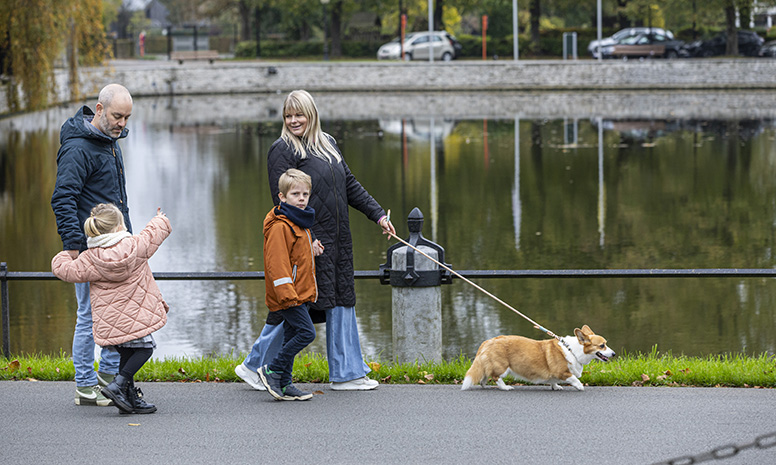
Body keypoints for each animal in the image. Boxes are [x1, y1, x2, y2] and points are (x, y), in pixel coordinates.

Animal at [458, 324, 616, 390]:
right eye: (602, 346)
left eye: (606, 344)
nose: (614, 354)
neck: (573, 350)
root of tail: (487, 342)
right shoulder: (562, 372)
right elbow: (574, 379)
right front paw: (580, 387)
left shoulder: (555, 374)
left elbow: (553, 382)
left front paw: (556, 387)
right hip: (502, 367)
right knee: (496, 377)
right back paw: (505, 387)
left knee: (484, 377)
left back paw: (485, 386)